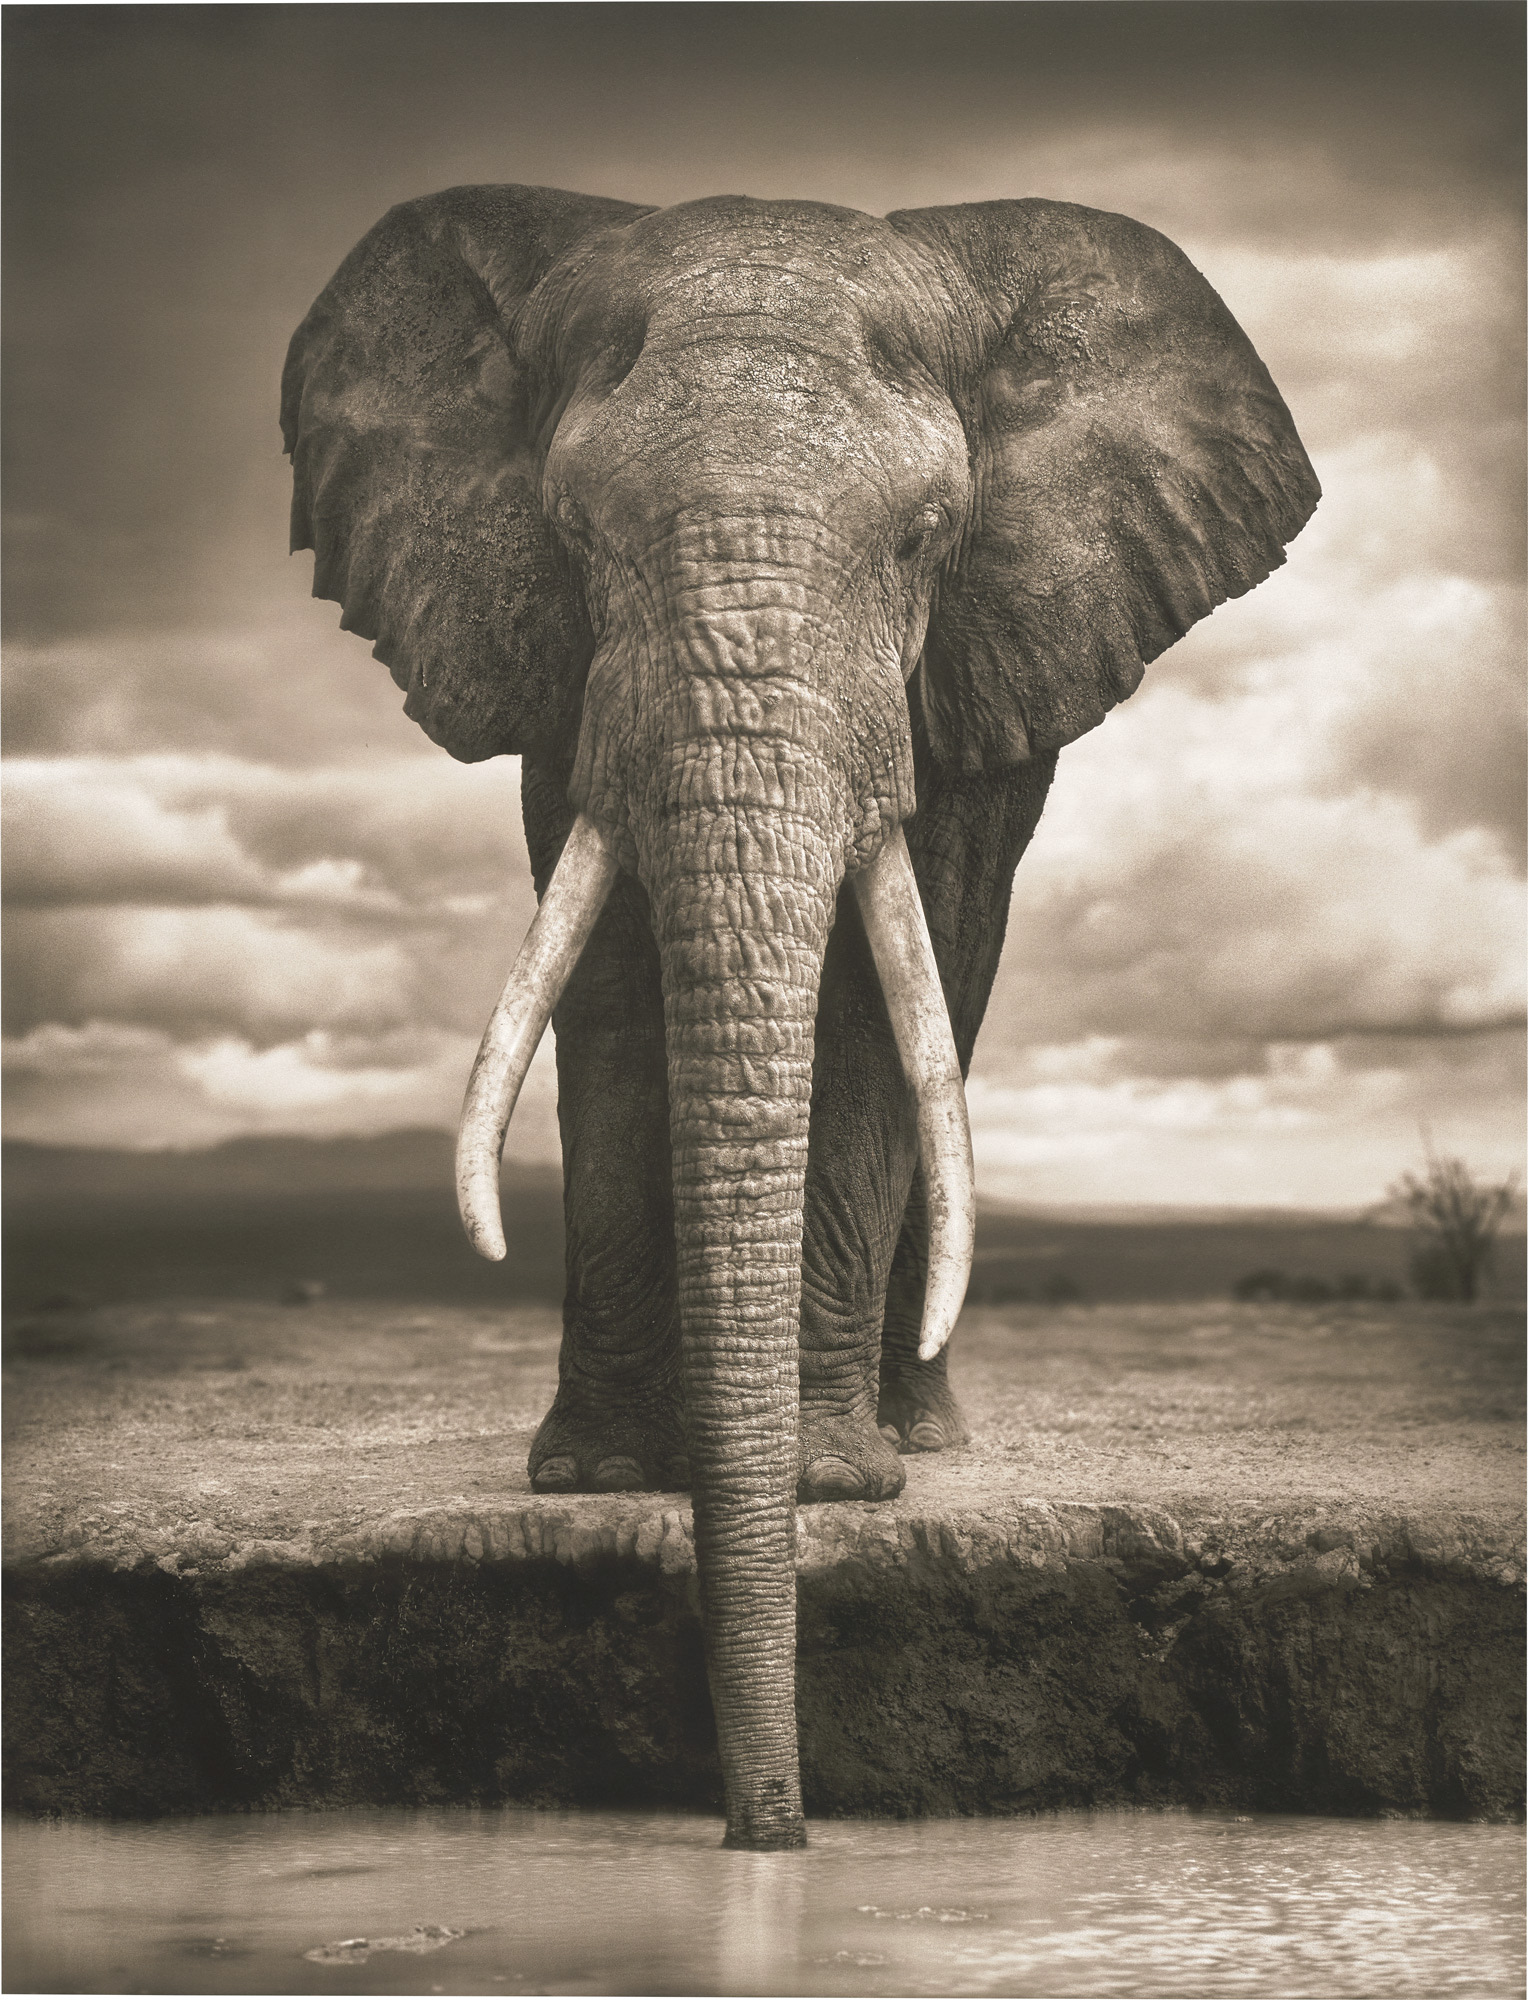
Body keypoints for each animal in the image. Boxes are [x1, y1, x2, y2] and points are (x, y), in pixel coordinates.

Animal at [281, 185, 1318, 1848]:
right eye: (574, 533)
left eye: (927, 535)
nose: (771, 1831)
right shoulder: (563, 674)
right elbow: (612, 985)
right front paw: (602, 1477)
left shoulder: (958, 665)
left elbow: (889, 999)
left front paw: (830, 1487)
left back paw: (919, 1438)